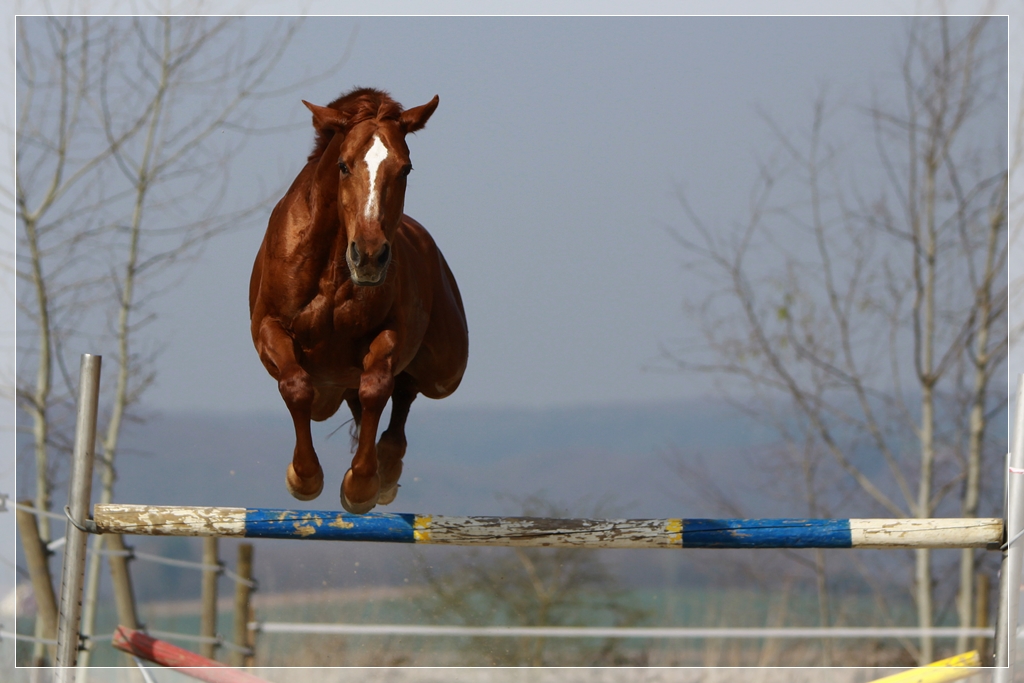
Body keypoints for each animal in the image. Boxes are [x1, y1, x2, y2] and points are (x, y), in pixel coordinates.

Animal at [249, 87, 468, 511]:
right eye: (343, 166)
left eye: (405, 169)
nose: (368, 256)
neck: (333, 270)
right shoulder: (270, 327)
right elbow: (296, 385)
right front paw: (304, 477)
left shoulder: (388, 335)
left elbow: (377, 388)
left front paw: (362, 485)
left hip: (446, 372)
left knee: (405, 390)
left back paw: (388, 467)